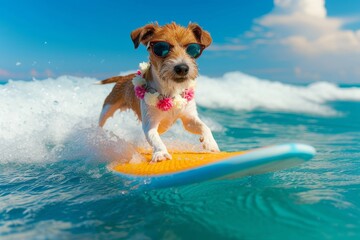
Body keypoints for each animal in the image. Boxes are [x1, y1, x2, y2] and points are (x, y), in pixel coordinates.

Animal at [97, 22, 219, 162]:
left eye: (192, 49)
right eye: (161, 48)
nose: (182, 68)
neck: (171, 91)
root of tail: (124, 77)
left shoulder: (189, 118)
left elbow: (204, 126)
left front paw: (210, 143)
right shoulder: (150, 123)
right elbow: (155, 138)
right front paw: (161, 152)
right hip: (108, 107)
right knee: (101, 121)